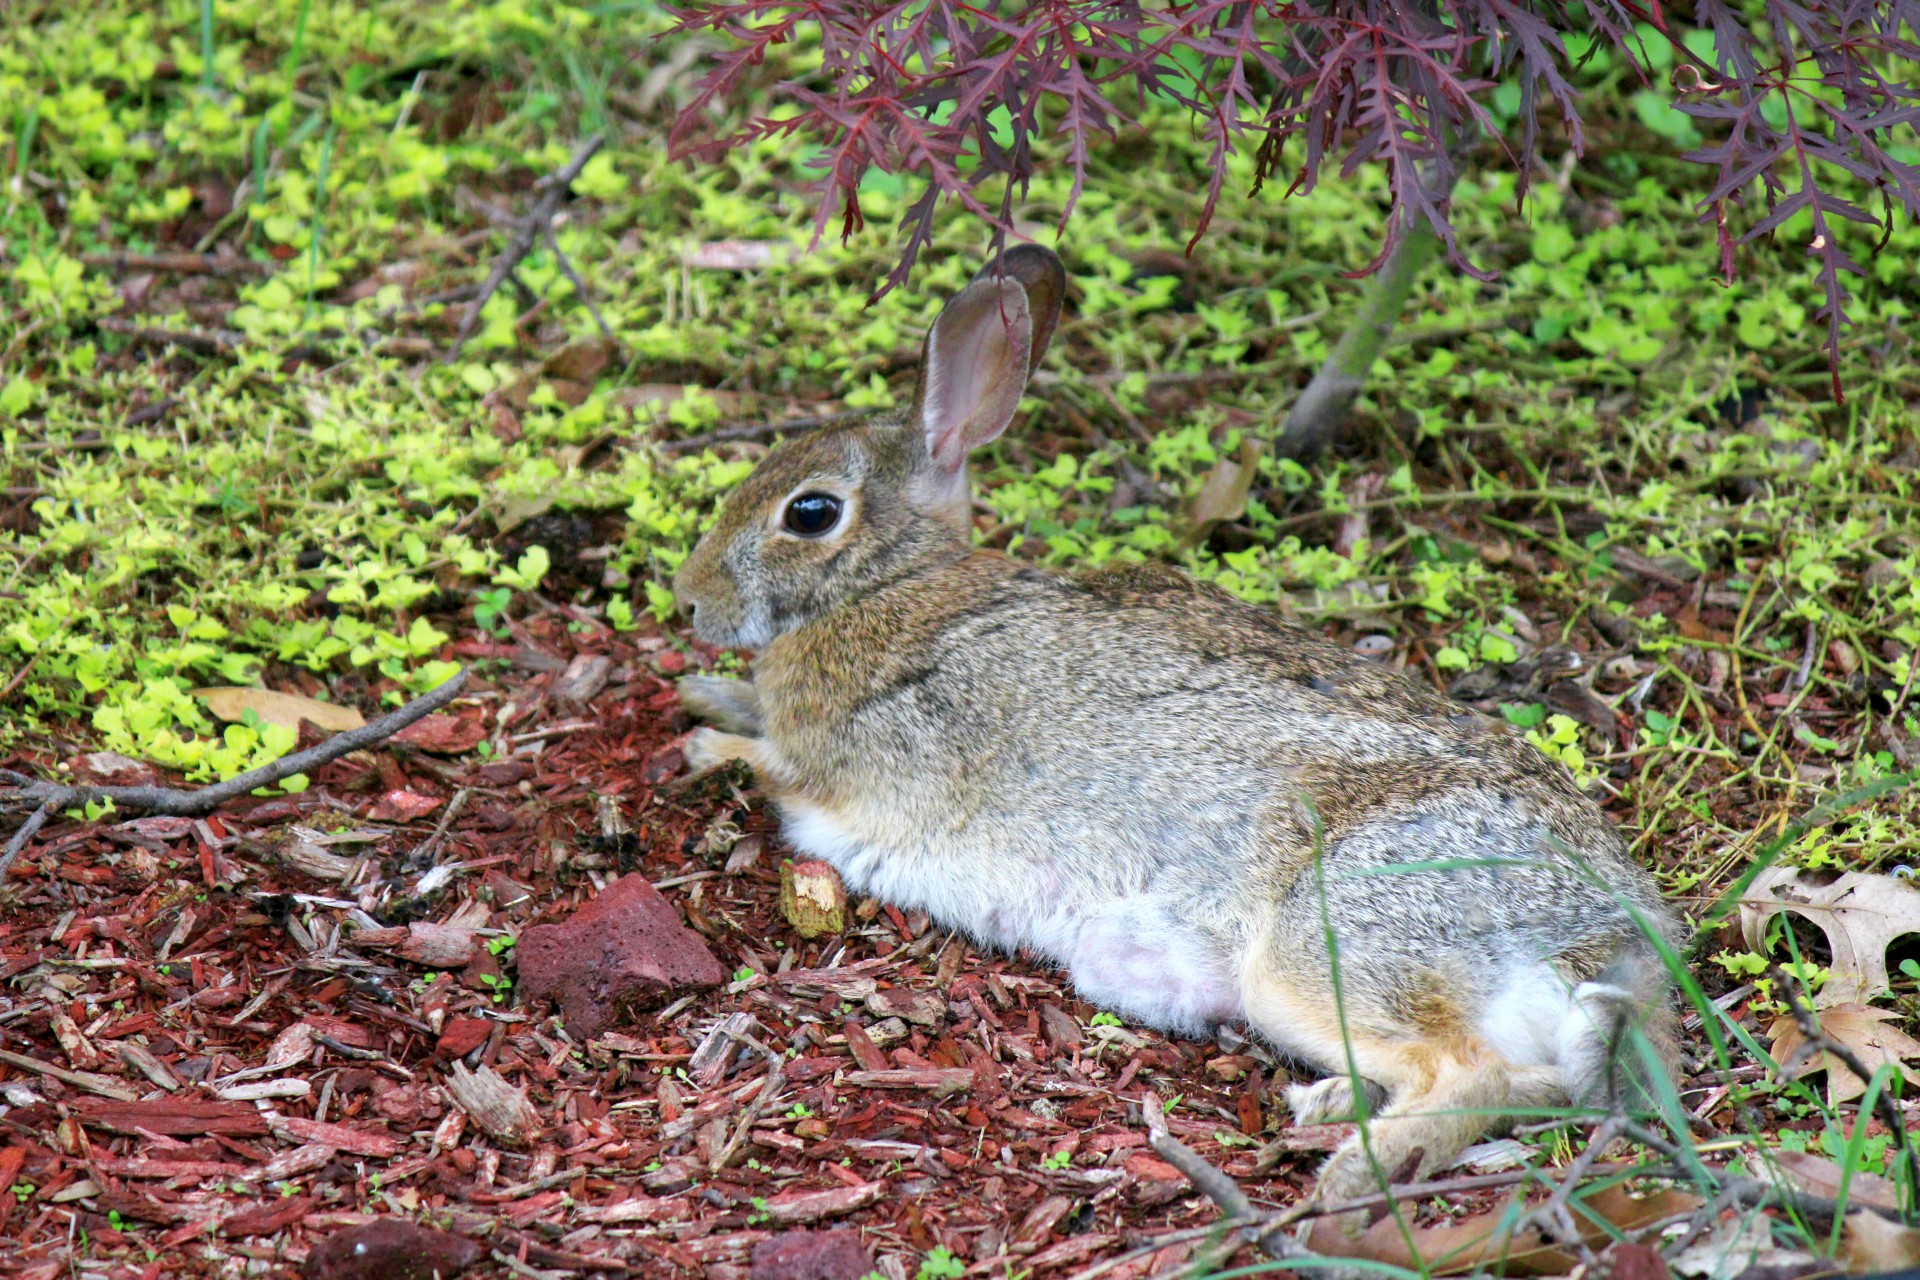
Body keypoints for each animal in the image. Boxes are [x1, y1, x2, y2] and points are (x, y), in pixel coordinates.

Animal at [672, 247, 1681, 1212]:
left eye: (810, 513)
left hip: (1325, 945)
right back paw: (1331, 1108)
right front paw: (704, 693)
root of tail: (1614, 931)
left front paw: (702, 746)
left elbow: (768, 762)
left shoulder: (844, 764)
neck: (893, 583)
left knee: (1477, 1075)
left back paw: (1352, 1171)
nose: (688, 600)